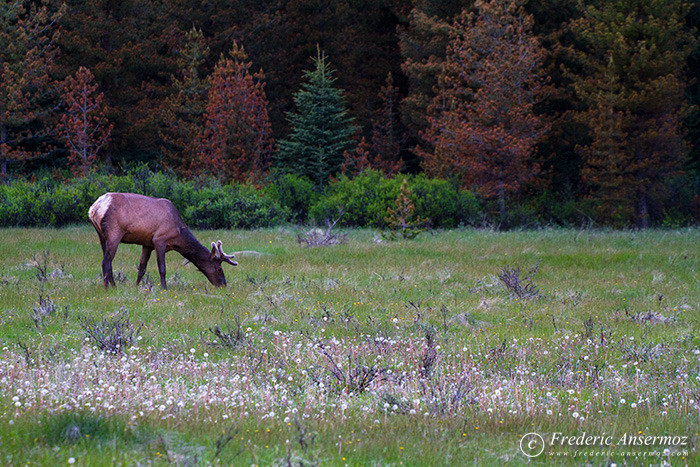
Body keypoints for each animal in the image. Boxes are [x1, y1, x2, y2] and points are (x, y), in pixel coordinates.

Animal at [89, 193, 237, 288]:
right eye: (219, 268)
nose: (223, 284)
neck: (178, 236)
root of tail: (94, 208)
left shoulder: (147, 244)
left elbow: (142, 268)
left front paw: (136, 286)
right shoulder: (159, 240)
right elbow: (162, 268)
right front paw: (164, 288)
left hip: (101, 235)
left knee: (108, 261)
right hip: (114, 233)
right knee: (106, 262)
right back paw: (110, 287)